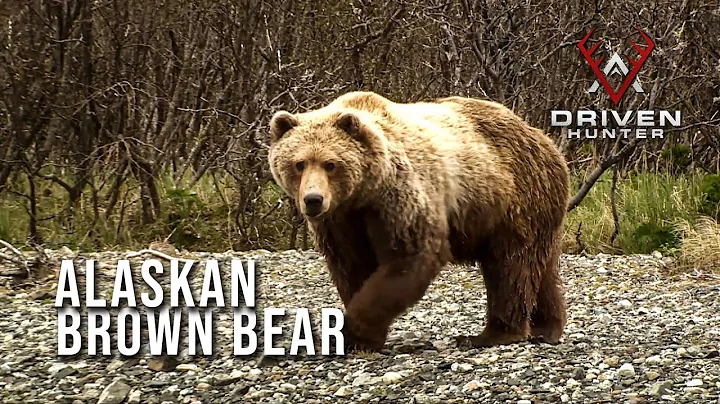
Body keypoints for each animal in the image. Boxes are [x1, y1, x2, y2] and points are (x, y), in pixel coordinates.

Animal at [267, 91, 570, 352]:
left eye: (331, 163)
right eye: (299, 163)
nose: (313, 199)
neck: (363, 192)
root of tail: (544, 139)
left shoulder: (398, 197)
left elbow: (410, 256)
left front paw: (354, 333)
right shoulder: (340, 220)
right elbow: (350, 265)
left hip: (513, 201)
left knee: (511, 266)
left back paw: (494, 334)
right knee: (540, 269)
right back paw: (546, 327)